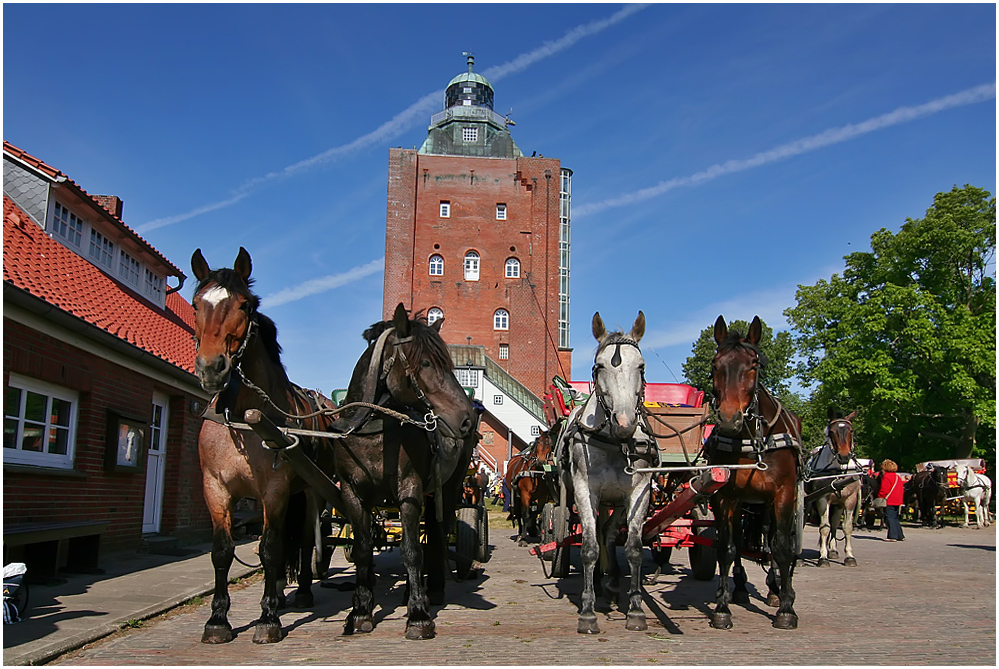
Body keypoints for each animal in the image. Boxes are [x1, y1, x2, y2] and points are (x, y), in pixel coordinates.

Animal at [189, 248, 338, 644]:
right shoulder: (215, 488)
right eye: (196, 303)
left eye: (244, 305)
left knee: (304, 539)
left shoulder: (275, 489)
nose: (211, 368)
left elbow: (270, 549)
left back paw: (301, 592)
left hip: (311, 491)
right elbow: (223, 552)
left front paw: (268, 618)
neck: (245, 420)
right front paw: (217, 620)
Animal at [334, 302, 478, 636]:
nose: (467, 418)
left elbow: (412, 550)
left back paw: (431, 590)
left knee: (436, 534)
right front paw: (360, 611)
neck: (373, 428)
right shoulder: (352, 494)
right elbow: (362, 549)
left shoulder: (409, 489)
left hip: (448, 488)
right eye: (425, 362)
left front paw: (418, 615)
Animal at [560, 310, 660, 636]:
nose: (625, 423)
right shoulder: (584, 490)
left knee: (609, 533)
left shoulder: (639, 491)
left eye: (641, 366)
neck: (616, 442)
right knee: (599, 534)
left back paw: (612, 581)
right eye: (599, 366)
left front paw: (636, 609)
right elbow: (589, 547)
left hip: (616, 501)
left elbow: (633, 548)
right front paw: (587, 611)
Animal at [708, 316, 800, 628]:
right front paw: (722, 607)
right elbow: (726, 548)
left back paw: (777, 589)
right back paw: (739, 588)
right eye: (715, 364)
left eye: (753, 365)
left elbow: (782, 547)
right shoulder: (724, 496)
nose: (728, 419)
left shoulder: (784, 493)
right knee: (739, 542)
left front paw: (786, 608)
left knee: (774, 542)